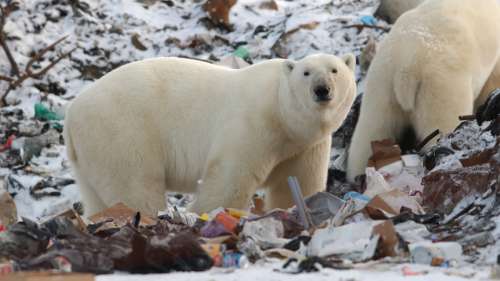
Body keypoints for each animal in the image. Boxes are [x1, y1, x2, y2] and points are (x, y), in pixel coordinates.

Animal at [64, 53, 358, 214]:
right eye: (306, 73)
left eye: (335, 70)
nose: (322, 89)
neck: (282, 112)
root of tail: (71, 114)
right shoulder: (253, 122)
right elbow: (230, 176)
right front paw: (206, 213)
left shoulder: (304, 144)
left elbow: (298, 181)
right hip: (122, 130)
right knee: (136, 184)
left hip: (91, 151)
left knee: (96, 196)